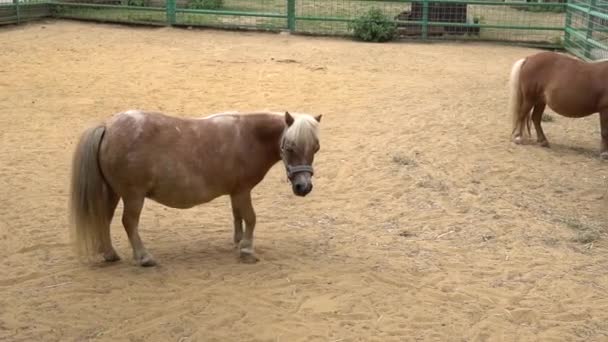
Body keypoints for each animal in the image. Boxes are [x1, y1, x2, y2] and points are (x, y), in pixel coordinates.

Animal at [68, 108, 324, 266]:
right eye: (289, 146)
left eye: (316, 148)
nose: (303, 187)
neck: (248, 137)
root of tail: (107, 127)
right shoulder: (242, 191)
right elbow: (251, 218)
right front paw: (247, 250)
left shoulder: (236, 192)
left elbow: (237, 216)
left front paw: (238, 242)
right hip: (133, 196)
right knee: (128, 222)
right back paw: (144, 257)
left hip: (113, 192)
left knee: (104, 218)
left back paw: (110, 253)